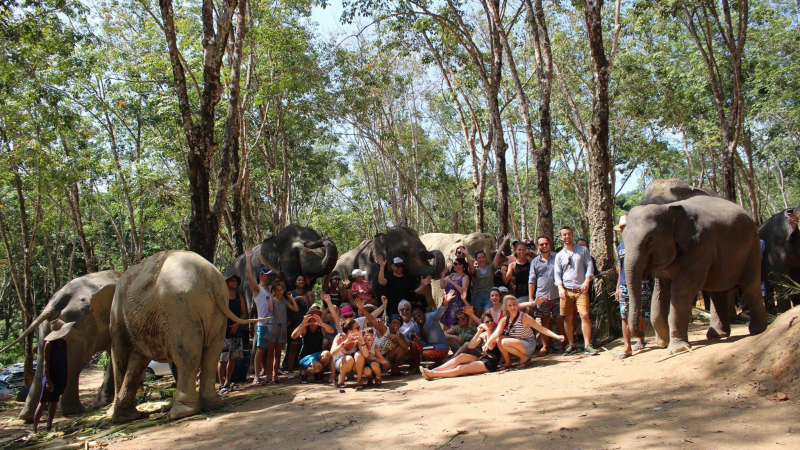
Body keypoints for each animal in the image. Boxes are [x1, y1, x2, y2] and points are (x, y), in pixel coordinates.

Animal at [0, 271, 120, 421]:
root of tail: (58, 299)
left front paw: (101, 403)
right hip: (81, 324)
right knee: (75, 363)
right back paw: (73, 411)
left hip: (47, 326)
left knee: (42, 363)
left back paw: (27, 417)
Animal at [109, 250, 261, 423]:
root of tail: (210, 278)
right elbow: (136, 359)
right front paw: (129, 416)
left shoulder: (118, 316)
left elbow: (121, 357)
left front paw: (120, 418)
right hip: (213, 313)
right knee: (211, 354)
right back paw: (211, 404)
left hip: (179, 307)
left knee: (187, 356)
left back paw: (179, 414)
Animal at [622, 195, 768, 354]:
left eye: (650, 239)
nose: (642, 336)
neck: (668, 208)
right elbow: (660, 292)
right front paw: (663, 344)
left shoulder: (700, 246)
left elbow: (682, 291)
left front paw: (676, 349)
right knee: (717, 291)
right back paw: (716, 335)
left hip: (753, 247)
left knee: (750, 285)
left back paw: (757, 330)